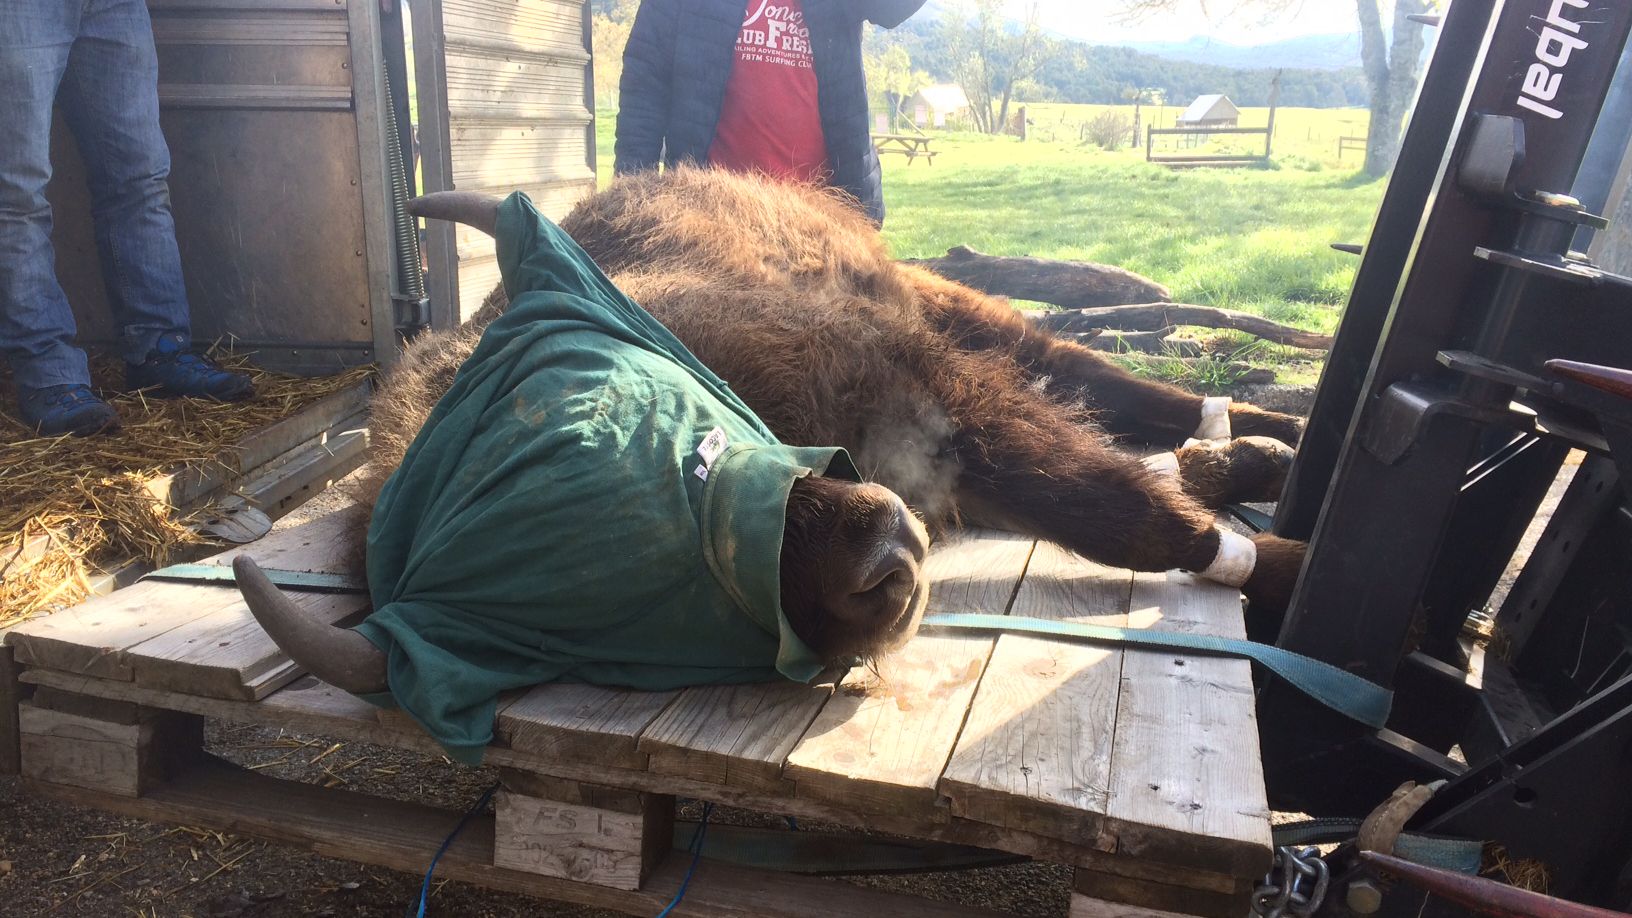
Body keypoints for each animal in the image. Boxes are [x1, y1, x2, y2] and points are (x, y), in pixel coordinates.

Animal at [233, 168, 1299, 754]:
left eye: (657, 420)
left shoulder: (938, 400)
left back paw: (1256, 448)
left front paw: (1288, 572)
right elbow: (1117, 501)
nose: (886, 567)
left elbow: (1117, 508)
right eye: (629, 613)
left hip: (946, 308)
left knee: (1100, 378)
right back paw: (1244, 460)